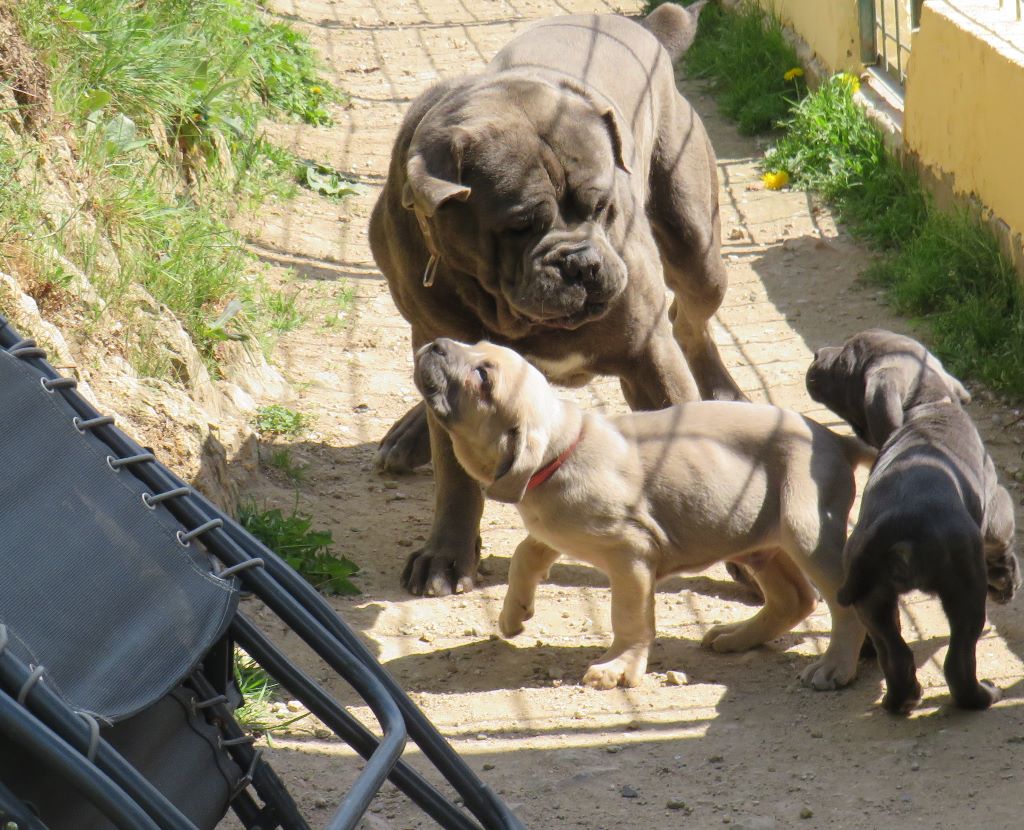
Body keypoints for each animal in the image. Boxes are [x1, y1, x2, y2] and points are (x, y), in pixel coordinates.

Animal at [370, 1, 745, 597]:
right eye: (520, 225)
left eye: (604, 206)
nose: (582, 262)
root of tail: (647, 29)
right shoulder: (443, 348)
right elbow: (456, 477)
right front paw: (447, 555)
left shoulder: (649, 354)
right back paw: (410, 433)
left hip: (696, 246)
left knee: (691, 318)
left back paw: (723, 393)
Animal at [806, 331, 1015, 712]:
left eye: (845, 358)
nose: (816, 355)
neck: (927, 406)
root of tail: (901, 524)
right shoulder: (997, 506)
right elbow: (1004, 546)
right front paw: (1006, 583)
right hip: (965, 589)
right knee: (958, 661)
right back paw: (982, 696)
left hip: (872, 597)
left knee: (896, 655)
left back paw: (900, 700)